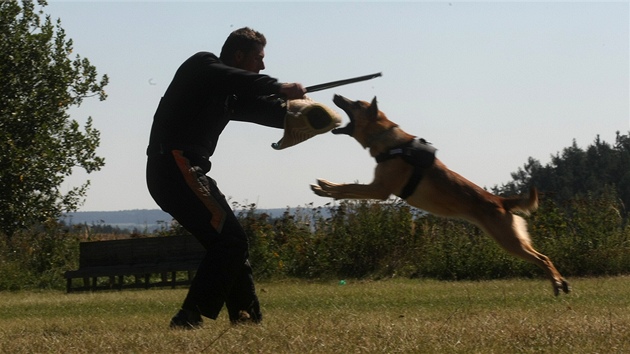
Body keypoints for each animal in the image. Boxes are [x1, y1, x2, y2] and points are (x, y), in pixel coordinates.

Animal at [312, 94, 572, 296]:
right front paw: (326, 187)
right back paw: (561, 283)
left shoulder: (379, 189)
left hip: (509, 241)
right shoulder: (377, 188)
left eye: (355, 103)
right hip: (512, 240)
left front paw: (324, 187)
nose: (336, 95)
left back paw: (558, 284)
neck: (389, 143)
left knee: (543, 258)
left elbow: (347, 186)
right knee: (543, 256)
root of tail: (501, 201)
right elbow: (348, 187)